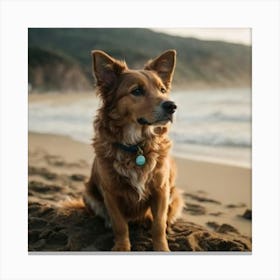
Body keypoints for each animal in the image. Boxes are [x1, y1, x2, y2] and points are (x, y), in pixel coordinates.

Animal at [83, 48, 184, 252]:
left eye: (162, 90)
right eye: (137, 91)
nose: (172, 106)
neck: (135, 146)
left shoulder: (161, 190)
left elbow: (158, 225)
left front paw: (162, 248)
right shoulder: (110, 193)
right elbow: (120, 225)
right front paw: (122, 247)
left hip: (175, 194)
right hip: (88, 193)